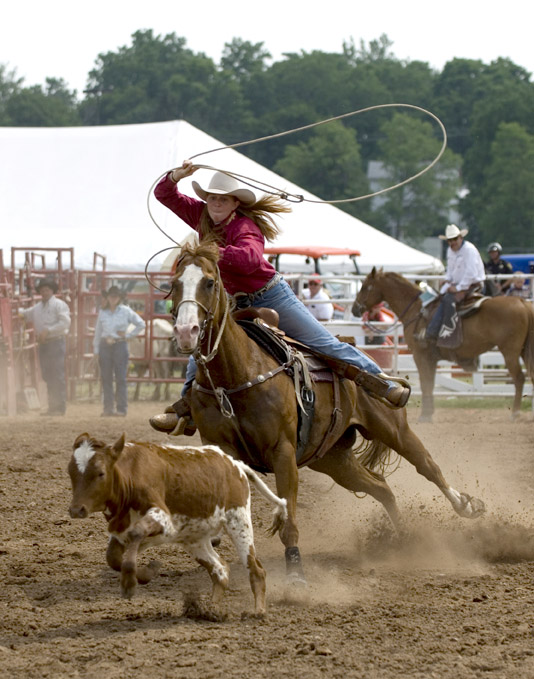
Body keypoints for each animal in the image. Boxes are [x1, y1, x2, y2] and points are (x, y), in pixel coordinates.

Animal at [171, 246, 486, 584]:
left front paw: (295, 571)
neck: (235, 375)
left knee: (428, 466)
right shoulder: (223, 449)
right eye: (174, 283)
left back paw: (465, 505)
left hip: (393, 430)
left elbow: (289, 518)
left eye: (209, 282)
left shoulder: (283, 452)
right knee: (380, 487)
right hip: (333, 459)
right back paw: (404, 539)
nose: (186, 332)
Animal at [356, 268, 534, 422]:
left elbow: (425, 383)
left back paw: (515, 413)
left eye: (364, 286)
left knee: (519, 378)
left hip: (510, 351)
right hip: (523, 351)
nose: (354, 309)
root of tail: (522, 302)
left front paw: (425, 415)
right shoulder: (432, 359)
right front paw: (429, 412)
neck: (417, 310)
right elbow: (431, 383)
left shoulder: (421, 355)